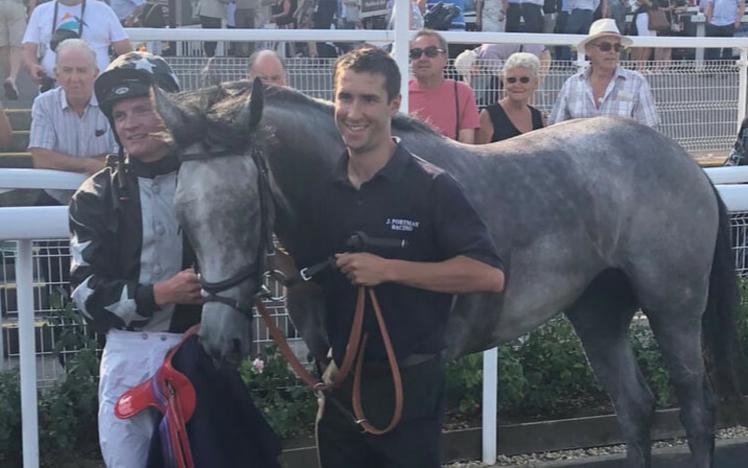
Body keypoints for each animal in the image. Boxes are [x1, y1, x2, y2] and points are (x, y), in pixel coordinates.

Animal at [155, 78, 744, 466]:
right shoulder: (333, 371)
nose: (219, 342)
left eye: (245, 209)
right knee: (635, 406)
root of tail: (685, 161)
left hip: (673, 309)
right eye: (182, 212)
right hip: (597, 311)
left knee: (697, 409)